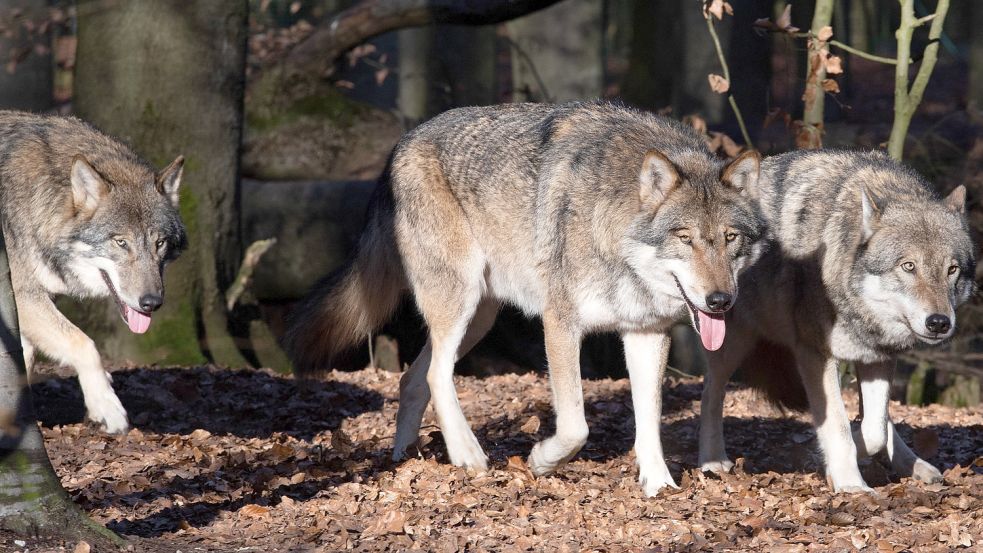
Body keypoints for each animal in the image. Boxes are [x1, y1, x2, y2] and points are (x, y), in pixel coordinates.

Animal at [0, 111, 188, 432]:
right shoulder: (23, 297)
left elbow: (25, 362)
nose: (151, 303)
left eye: (159, 243)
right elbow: (83, 342)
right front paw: (106, 405)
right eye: (121, 242)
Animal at [286, 100, 768, 496]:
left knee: (412, 379)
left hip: (478, 320)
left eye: (730, 238)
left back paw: (404, 458)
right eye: (685, 238)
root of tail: (401, 145)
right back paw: (467, 455)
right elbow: (575, 426)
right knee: (436, 374)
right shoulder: (559, 324)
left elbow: (648, 420)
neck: (615, 233)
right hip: (459, 303)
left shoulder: (646, 332)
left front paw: (660, 485)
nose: (720, 301)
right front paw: (541, 462)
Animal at [700, 148, 976, 492]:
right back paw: (713, 460)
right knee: (710, 394)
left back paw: (914, 465)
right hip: (733, 342)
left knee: (881, 421)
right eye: (908, 266)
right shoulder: (814, 354)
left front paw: (836, 459)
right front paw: (850, 483)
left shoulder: (879, 355)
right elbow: (839, 425)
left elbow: (873, 430)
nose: (939, 322)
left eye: (952, 270)